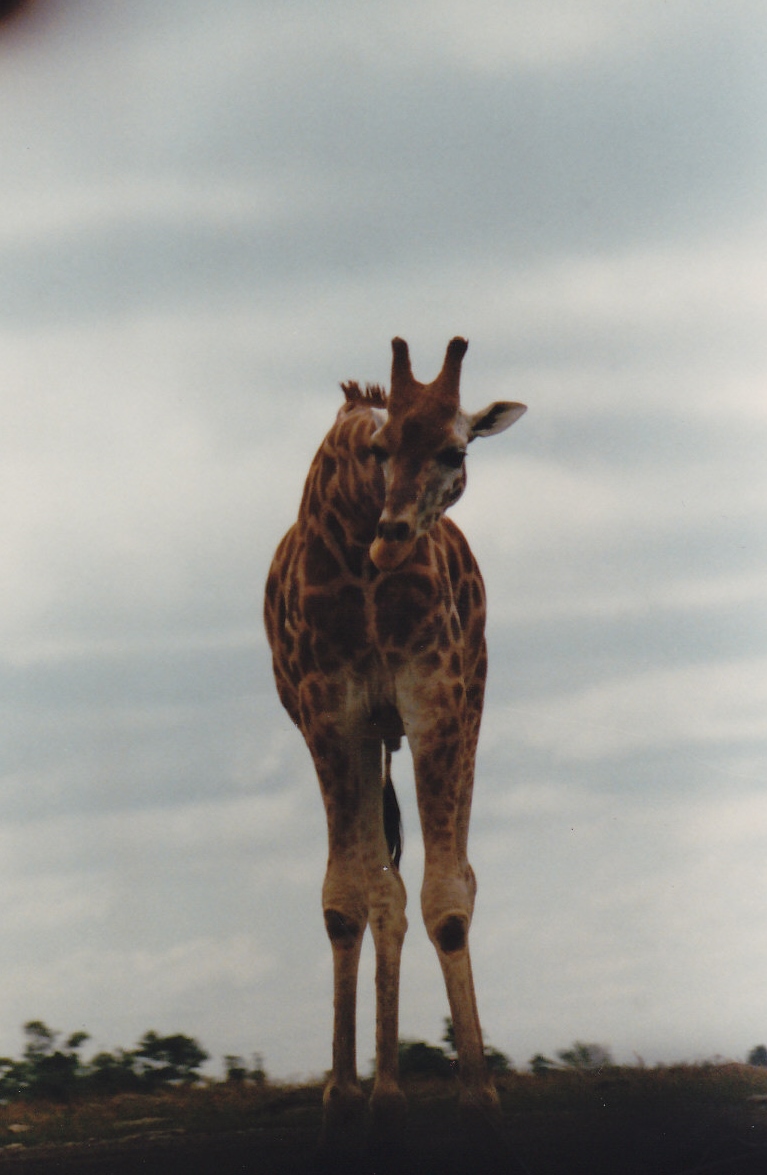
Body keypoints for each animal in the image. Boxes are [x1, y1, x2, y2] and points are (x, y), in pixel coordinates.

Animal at [263, 337, 526, 1150]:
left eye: (455, 450)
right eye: (381, 449)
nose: (393, 539)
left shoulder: (437, 701)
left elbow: (448, 896)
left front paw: (479, 1098)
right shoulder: (330, 714)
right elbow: (348, 898)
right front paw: (344, 1098)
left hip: (451, 708)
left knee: (434, 881)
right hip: (370, 735)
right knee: (383, 892)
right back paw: (380, 1093)